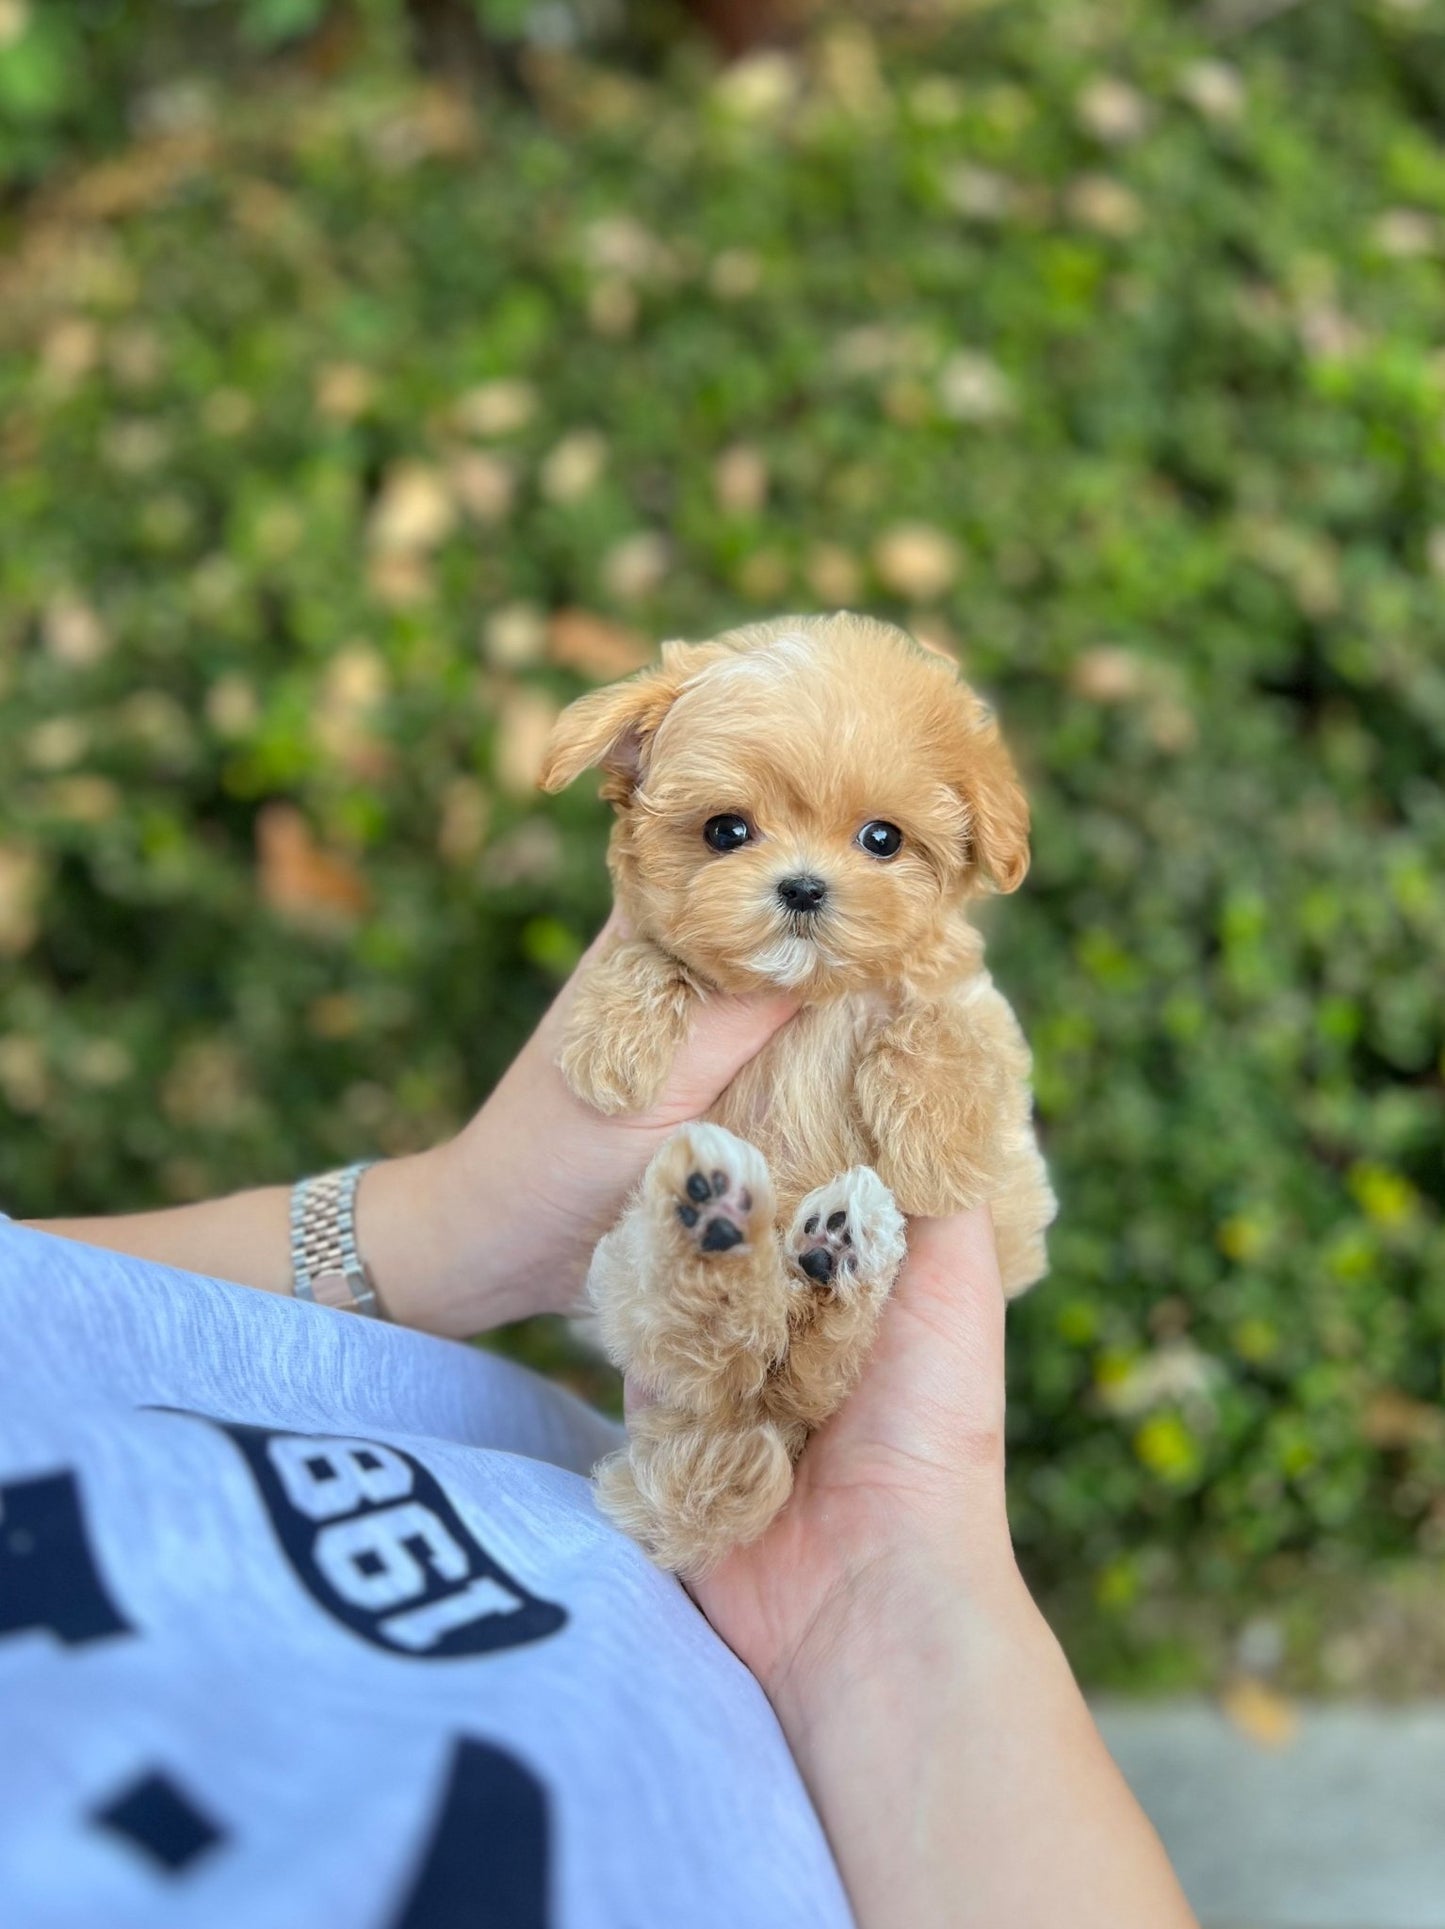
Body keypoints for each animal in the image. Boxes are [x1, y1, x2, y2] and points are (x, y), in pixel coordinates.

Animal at [540, 609, 1049, 1574]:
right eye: (725, 831)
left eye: (882, 838)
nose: (803, 887)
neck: (809, 994)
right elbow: (651, 952)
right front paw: (610, 1040)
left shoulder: (963, 1000)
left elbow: (948, 1023)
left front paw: (941, 1147)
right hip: (625, 1274)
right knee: (719, 1351)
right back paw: (721, 1231)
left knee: (812, 1366)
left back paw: (836, 1250)